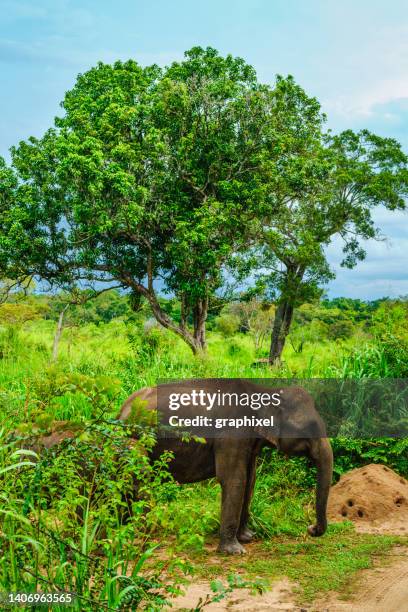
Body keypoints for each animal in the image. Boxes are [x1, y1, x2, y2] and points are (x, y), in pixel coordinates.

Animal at [117, 378, 332, 556]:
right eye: (310, 427)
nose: (310, 529)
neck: (263, 392)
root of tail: (122, 409)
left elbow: (250, 480)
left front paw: (248, 537)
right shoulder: (231, 434)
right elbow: (234, 479)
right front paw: (235, 551)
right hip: (133, 442)